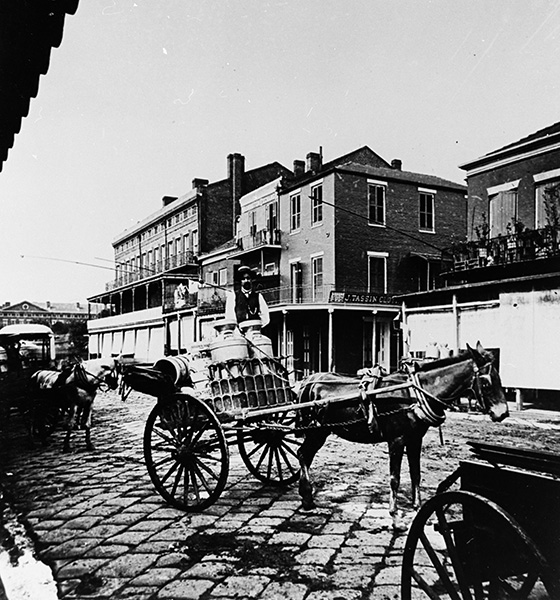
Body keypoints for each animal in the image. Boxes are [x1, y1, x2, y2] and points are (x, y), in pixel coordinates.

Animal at [296, 342, 510, 528]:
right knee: (303, 454)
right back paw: (307, 495)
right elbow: (395, 478)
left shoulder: (415, 439)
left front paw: (418, 509)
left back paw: (306, 497)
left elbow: (416, 473)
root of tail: (309, 381)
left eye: (499, 378)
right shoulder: (397, 440)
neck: (412, 394)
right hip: (316, 432)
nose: (503, 413)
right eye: (486, 382)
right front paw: (395, 517)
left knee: (304, 455)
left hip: (320, 432)